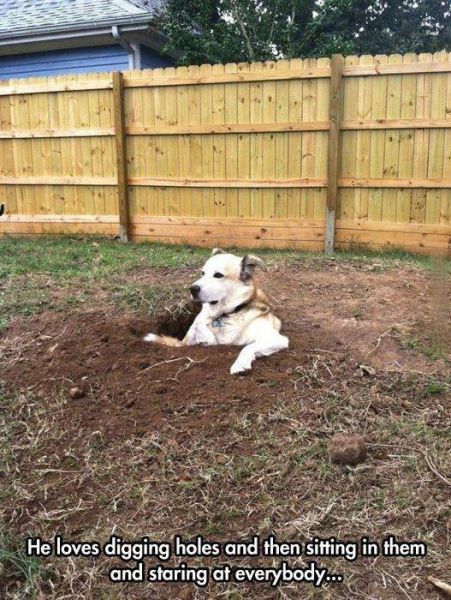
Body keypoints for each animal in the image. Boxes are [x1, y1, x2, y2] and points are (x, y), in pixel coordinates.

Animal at [144, 247, 290, 370]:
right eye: (202, 273)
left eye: (218, 275)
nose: (192, 289)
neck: (225, 313)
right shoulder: (187, 340)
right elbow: (201, 327)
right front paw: (206, 338)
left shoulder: (277, 339)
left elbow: (248, 347)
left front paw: (239, 365)